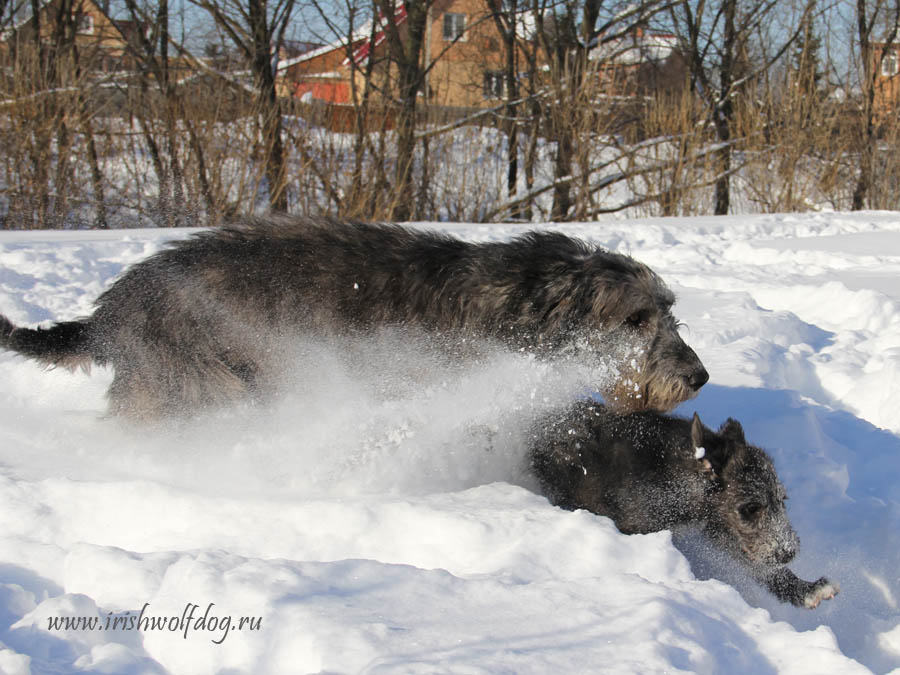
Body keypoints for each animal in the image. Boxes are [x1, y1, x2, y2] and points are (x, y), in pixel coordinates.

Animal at [0, 217, 712, 418]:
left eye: (670, 311)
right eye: (636, 319)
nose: (699, 377)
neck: (515, 300)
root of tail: (110, 311)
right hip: (196, 385)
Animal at [536, 402, 836, 612]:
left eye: (782, 500)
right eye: (750, 508)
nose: (789, 552)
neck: (674, 479)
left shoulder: (721, 528)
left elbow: (757, 564)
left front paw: (805, 589)